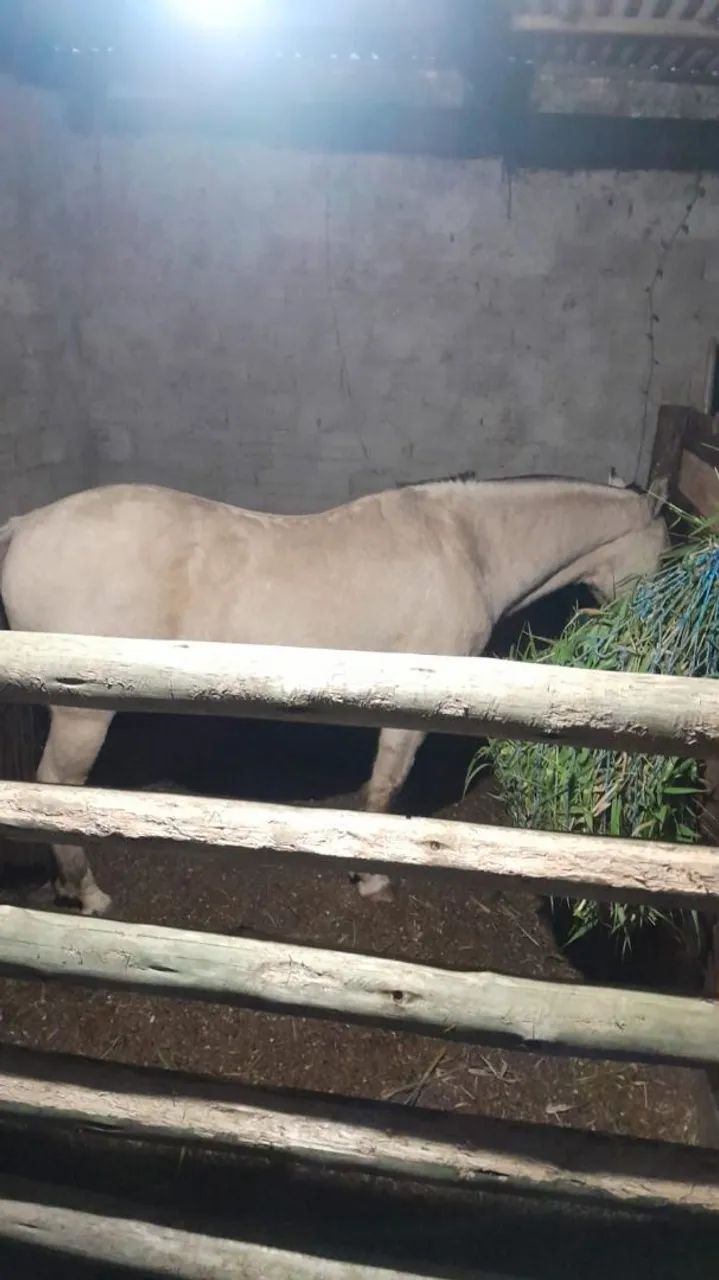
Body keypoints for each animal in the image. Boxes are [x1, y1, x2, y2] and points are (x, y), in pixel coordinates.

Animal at [0, 474, 667, 915]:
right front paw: (372, 880)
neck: (468, 545)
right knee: (57, 788)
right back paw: (89, 892)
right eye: (669, 555)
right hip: (82, 713)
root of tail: (24, 526)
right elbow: (385, 789)